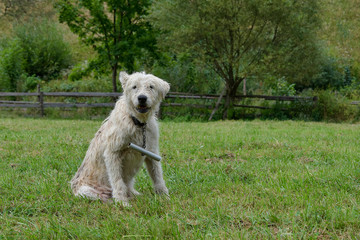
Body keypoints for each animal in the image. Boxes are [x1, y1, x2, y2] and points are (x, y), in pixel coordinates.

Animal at [72, 71, 172, 206]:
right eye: (134, 86)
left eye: (151, 86)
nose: (142, 98)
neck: (137, 123)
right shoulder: (112, 153)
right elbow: (117, 180)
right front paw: (122, 202)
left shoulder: (152, 152)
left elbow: (157, 176)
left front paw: (164, 197)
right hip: (86, 191)